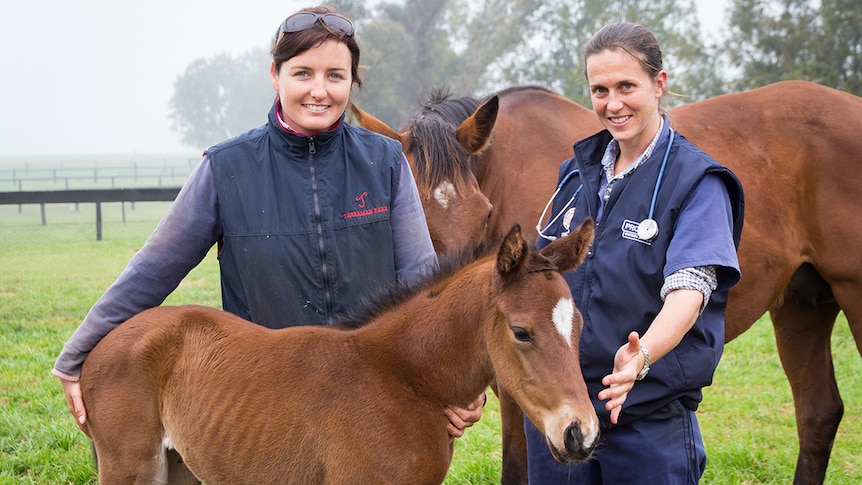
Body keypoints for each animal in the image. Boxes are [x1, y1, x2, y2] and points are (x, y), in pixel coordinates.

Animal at [81, 221, 600, 482]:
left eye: (577, 326)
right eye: (522, 332)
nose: (582, 434)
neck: (403, 379)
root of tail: (99, 345)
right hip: (130, 468)